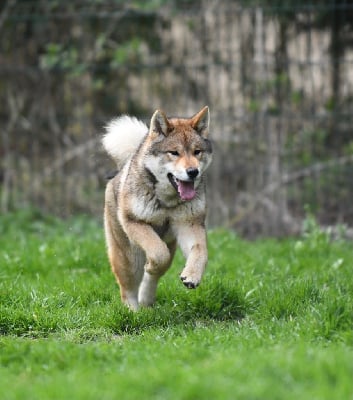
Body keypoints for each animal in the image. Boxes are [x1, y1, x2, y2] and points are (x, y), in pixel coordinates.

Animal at [101, 106, 212, 310]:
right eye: (174, 152)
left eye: (197, 152)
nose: (193, 172)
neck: (166, 203)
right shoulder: (135, 222)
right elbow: (159, 253)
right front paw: (152, 265)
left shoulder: (189, 224)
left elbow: (201, 252)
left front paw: (191, 276)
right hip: (128, 257)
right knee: (128, 289)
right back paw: (133, 312)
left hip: (171, 243)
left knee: (157, 272)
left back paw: (146, 300)